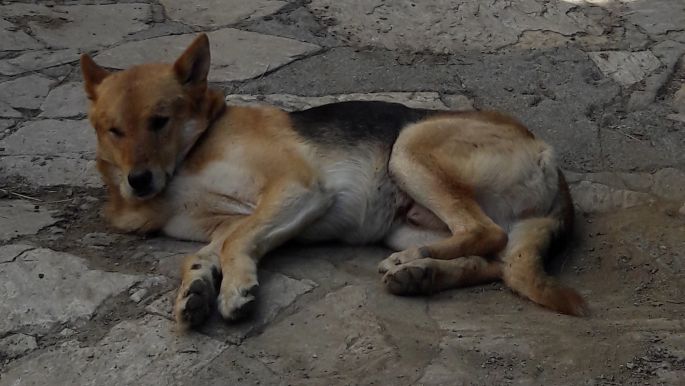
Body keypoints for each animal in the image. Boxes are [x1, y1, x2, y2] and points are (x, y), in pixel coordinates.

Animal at [79, 34, 584, 328]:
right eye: (113, 130)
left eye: (159, 121)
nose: (138, 181)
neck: (192, 150)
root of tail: (550, 160)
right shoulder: (227, 221)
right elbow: (205, 252)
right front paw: (198, 286)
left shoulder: (297, 189)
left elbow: (237, 241)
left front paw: (235, 287)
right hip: (405, 221)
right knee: (493, 262)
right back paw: (420, 274)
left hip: (408, 147)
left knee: (484, 232)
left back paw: (415, 261)